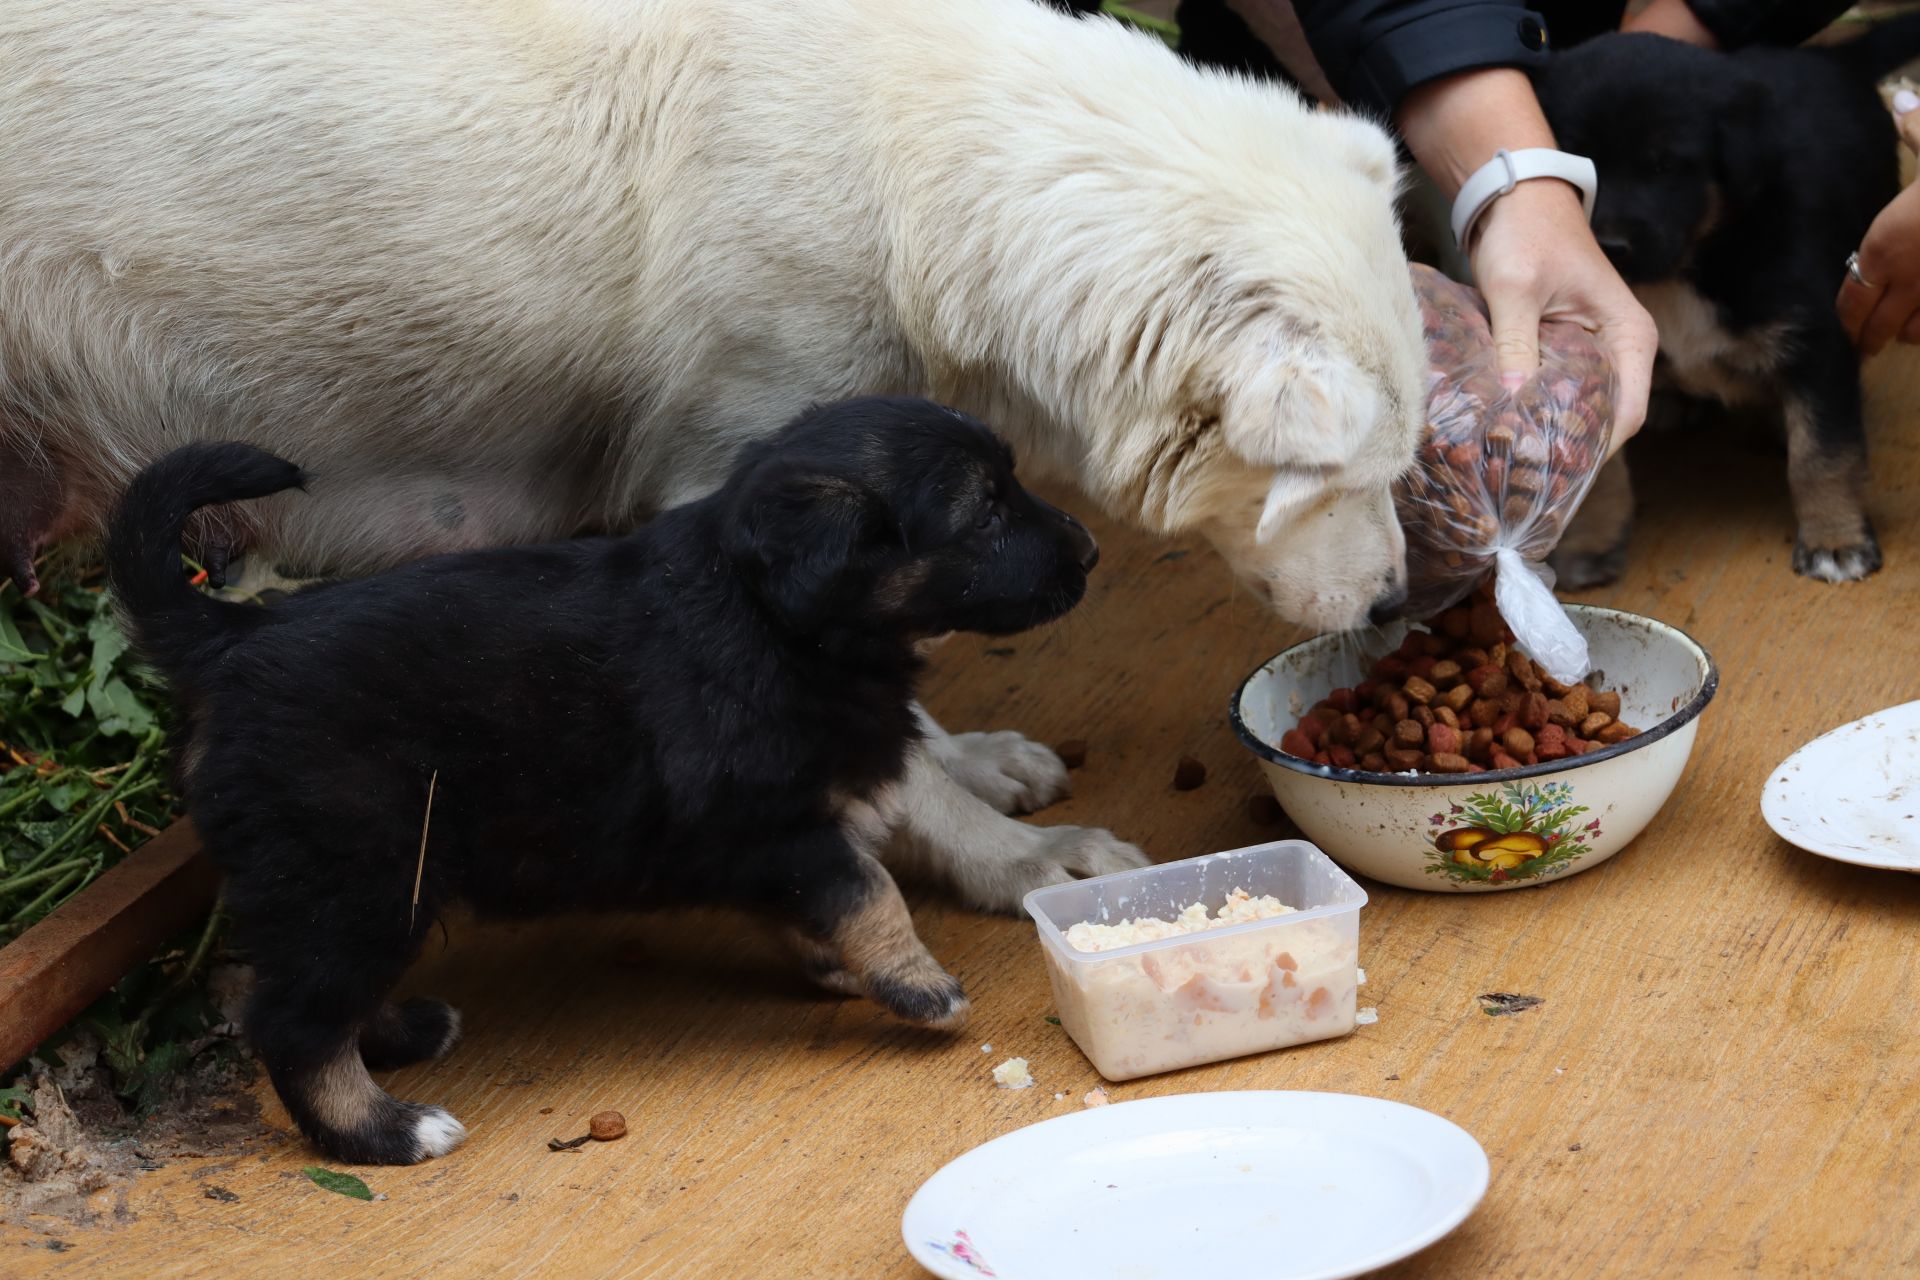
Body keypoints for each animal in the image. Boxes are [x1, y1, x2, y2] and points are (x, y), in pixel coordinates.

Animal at [0, 0, 1428, 909]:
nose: (1396, 605)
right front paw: (1012, 865)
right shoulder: (747, 502)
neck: (913, 169)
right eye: (1352, 481)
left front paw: (965, 763)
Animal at [105, 395, 1098, 1166]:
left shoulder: (783, 838)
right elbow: (871, 892)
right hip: (357, 873)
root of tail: (230, 638)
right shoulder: (776, 825)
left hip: (369, 891)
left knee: (325, 998)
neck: (772, 621)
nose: (1089, 549)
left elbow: (823, 905)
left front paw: (836, 967)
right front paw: (919, 986)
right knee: (292, 1022)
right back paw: (386, 1132)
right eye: (985, 515)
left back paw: (407, 1035)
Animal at [1536, 20, 1920, 587]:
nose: (1608, 247)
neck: (1683, 269)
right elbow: (1598, 468)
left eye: (1666, 164)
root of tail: (1835, 57)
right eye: (1575, 160)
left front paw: (1835, 539)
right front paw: (1588, 544)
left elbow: (1823, 455)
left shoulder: (1817, 341)